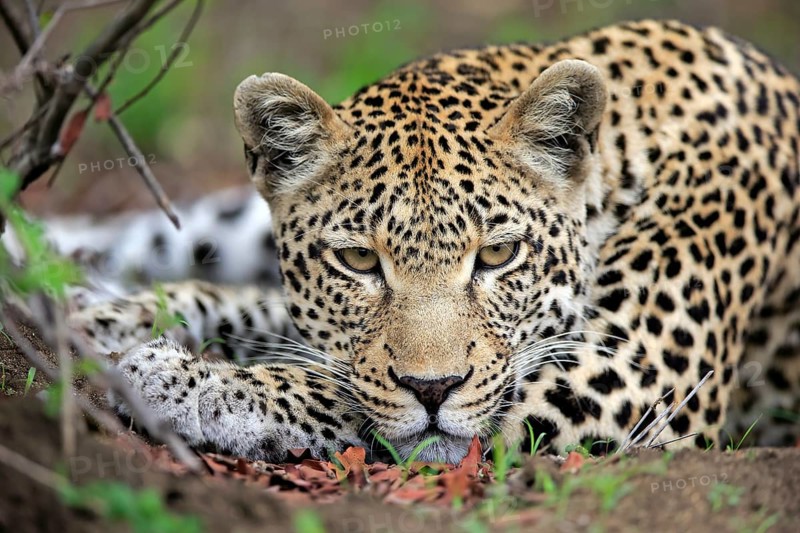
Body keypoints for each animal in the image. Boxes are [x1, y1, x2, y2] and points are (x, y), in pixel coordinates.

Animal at [55, 19, 800, 463]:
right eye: (359, 260)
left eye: (497, 255)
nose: (433, 389)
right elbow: (272, 320)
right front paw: (111, 316)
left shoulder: (630, 380)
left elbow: (344, 393)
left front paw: (189, 382)